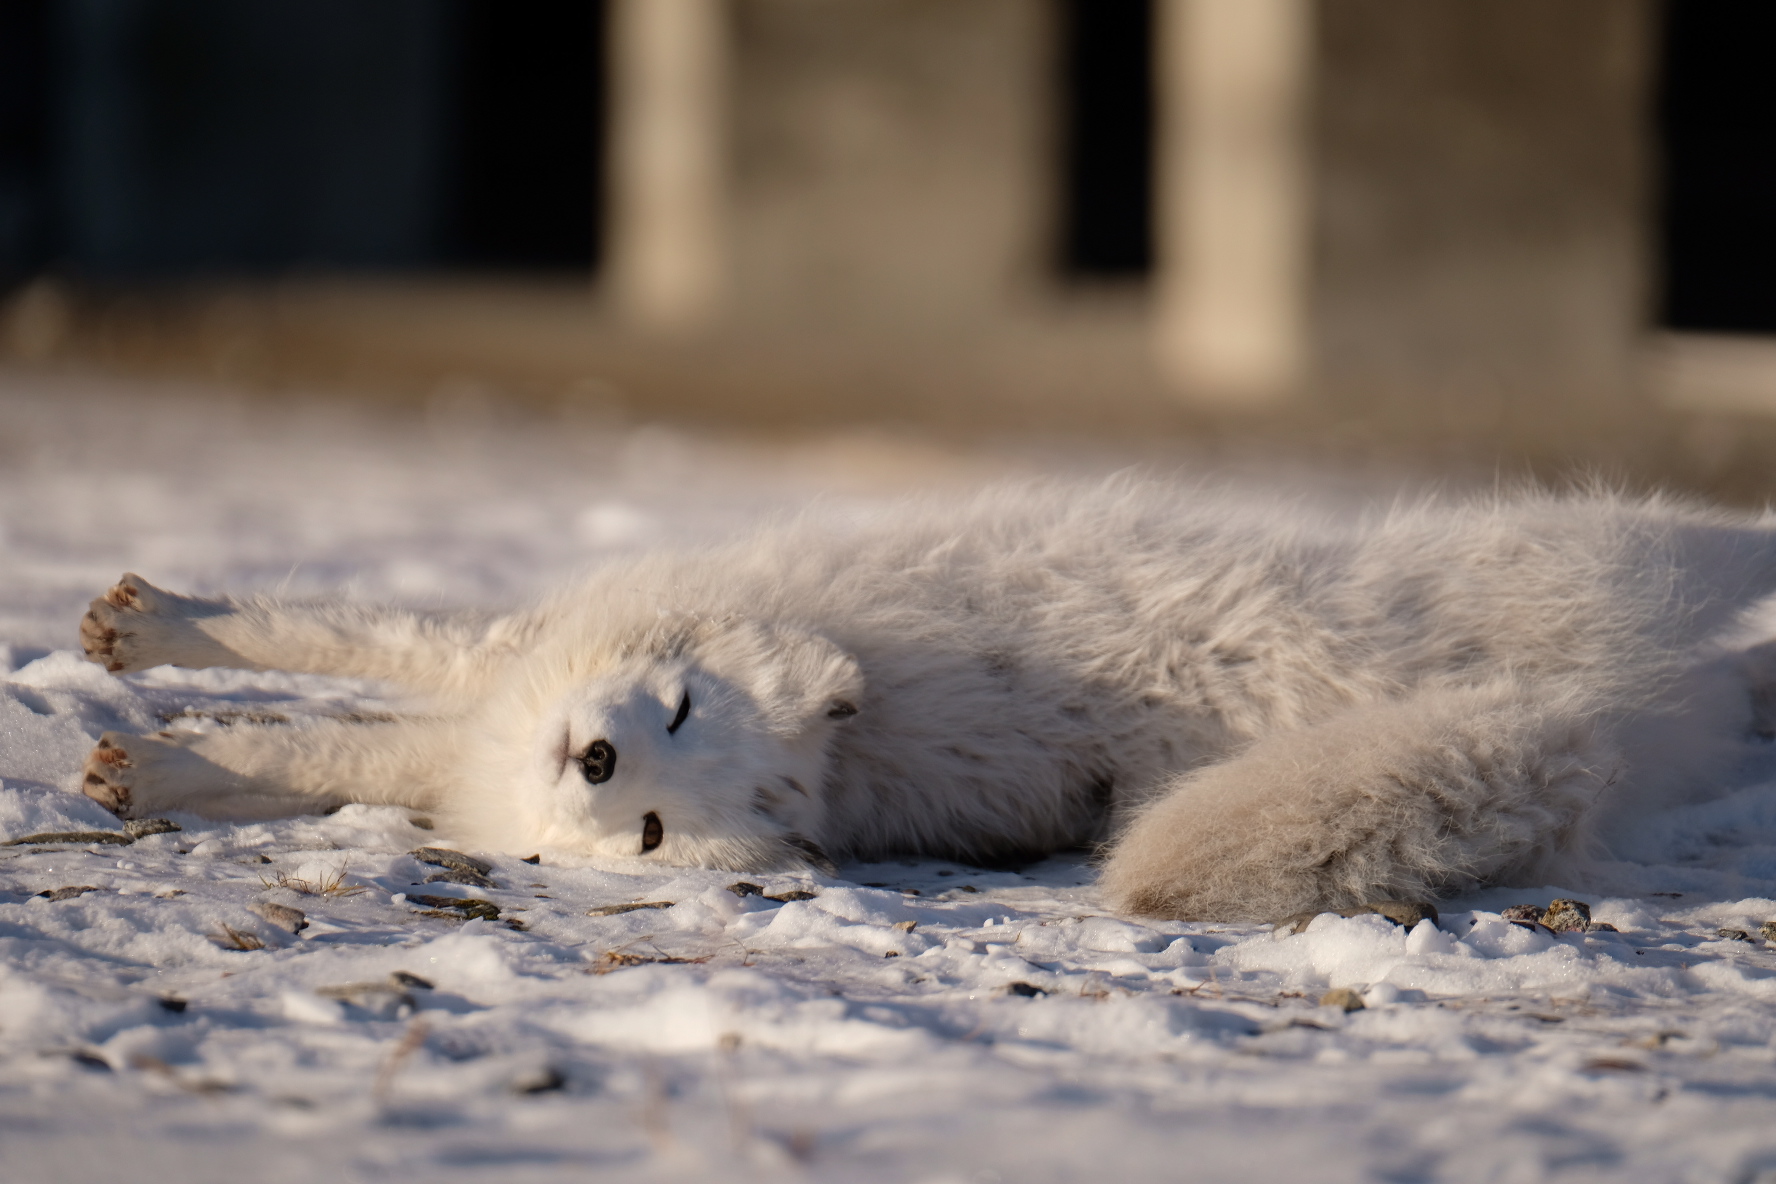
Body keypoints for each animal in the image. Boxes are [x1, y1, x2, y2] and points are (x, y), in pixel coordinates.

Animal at [76, 479, 1776, 915]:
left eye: (656, 826)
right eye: (670, 722)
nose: (595, 756)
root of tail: (1598, 714)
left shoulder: (492, 715)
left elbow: (331, 722)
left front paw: (145, 767)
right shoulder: (506, 681)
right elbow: (350, 651)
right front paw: (144, 640)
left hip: (1570, 553)